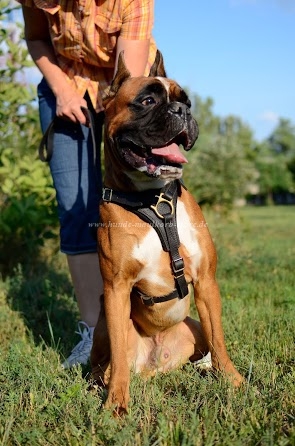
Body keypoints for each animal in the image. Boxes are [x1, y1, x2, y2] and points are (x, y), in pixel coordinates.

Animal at [91, 50, 244, 412]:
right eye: (146, 101)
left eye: (186, 101)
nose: (182, 111)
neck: (155, 200)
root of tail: (156, 363)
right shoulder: (116, 289)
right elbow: (119, 356)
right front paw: (116, 404)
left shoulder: (206, 282)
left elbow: (220, 341)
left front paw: (233, 381)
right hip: (104, 318)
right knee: (105, 362)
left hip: (194, 325)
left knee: (208, 347)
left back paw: (206, 367)